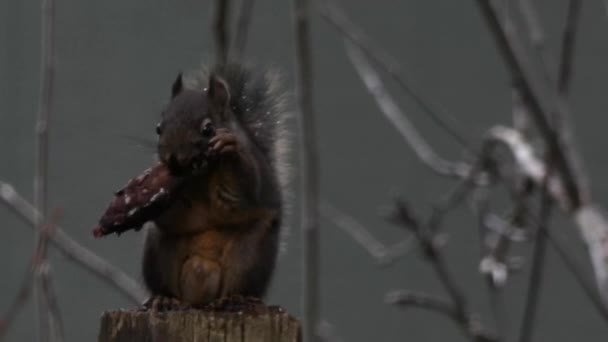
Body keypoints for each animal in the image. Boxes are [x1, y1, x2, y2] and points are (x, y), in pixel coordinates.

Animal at [141, 62, 288, 308]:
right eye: (158, 128)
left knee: (238, 282)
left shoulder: (247, 183)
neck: (199, 178)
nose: (174, 158)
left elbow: (242, 190)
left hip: (249, 255)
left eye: (208, 129)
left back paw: (235, 299)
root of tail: (199, 301)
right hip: (159, 252)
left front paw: (230, 149)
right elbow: (170, 216)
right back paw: (164, 299)